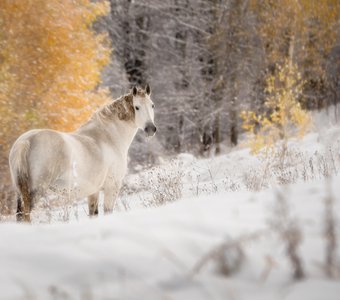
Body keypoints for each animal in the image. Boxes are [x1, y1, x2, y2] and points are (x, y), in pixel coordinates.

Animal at [8, 85, 156, 221]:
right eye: (137, 107)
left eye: (152, 105)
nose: (150, 129)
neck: (108, 137)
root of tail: (26, 141)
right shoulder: (111, 187)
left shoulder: (93, 191)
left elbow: (94, 214)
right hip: (36, 190)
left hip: (20, 191)